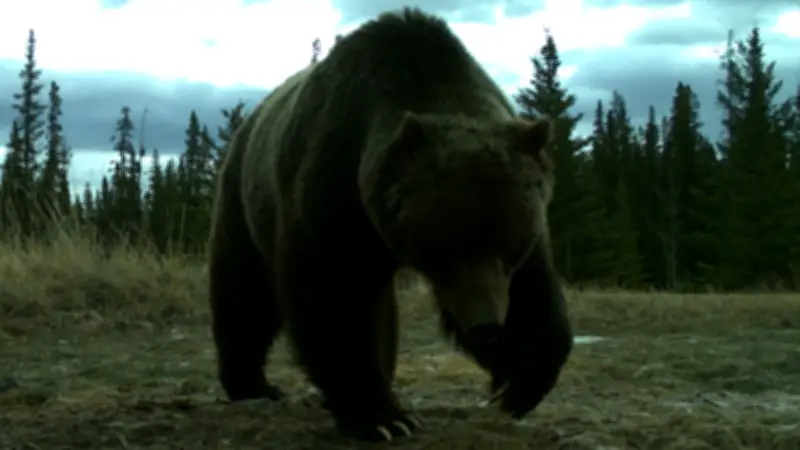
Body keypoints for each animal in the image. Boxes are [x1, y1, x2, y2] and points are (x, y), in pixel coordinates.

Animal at [207, 6, 573, 442]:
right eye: (448, 249)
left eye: (510, 247)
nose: (486, 325)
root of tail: (247, 122)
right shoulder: (334, 185)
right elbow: (333, 294)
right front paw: (384, 417)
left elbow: (534, 290)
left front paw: (520, 383)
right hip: (243, 199)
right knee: (245, 290)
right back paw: (252, 384)